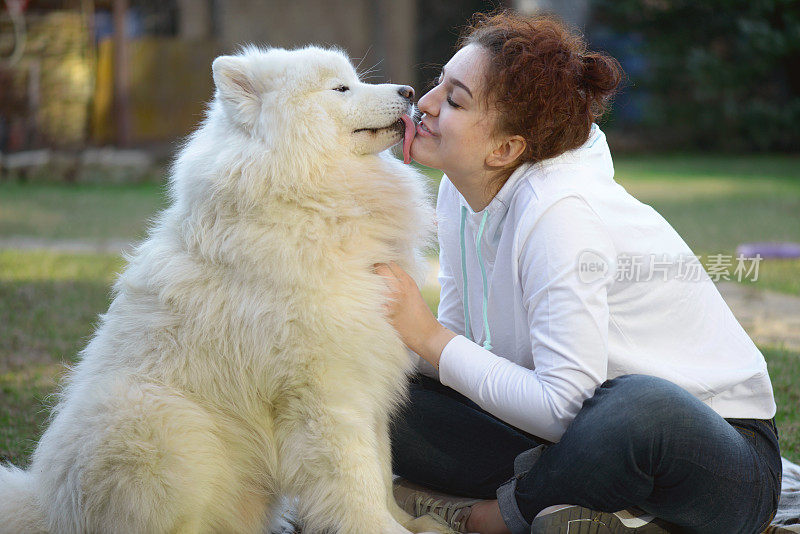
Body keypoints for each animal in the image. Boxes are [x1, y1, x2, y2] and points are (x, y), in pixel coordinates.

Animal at [0, 47, 450, 534]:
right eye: (340, 88)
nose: (409, 91)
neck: (307, 200)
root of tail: (47, 507)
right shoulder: (325, 389)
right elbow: (355, 478)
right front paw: (382, 529)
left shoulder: (368, 375)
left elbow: (382, 471)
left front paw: (413, 523)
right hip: (161, 419)